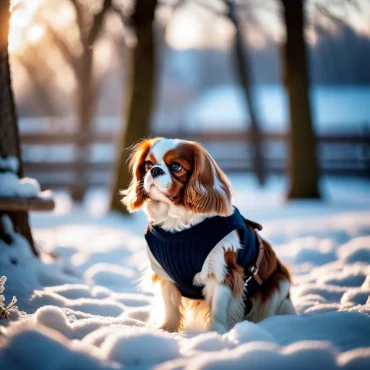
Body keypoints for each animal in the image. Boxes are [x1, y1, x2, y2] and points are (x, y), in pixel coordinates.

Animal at [123, 137, 296, 334]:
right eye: (148, 164)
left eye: (176, 166)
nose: (155, 170)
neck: (178, 225)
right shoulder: (165, 274)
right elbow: (170, 306)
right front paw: (167, 330)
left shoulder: (221, 271)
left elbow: (218, 308)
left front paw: (215, 333)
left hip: (278, 284)